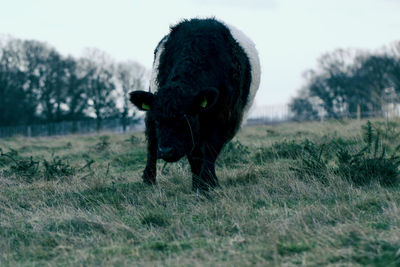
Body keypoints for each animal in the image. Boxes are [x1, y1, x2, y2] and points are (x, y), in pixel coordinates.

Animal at [130, 17, 260, 194]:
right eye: (158, 120)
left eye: (187, 117)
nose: (166, 151)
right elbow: (194, 155)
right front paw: (199, 185)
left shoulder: (225, 118)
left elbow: (209, 150)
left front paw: (207, 184)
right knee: (152, 142)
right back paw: (149, 179)